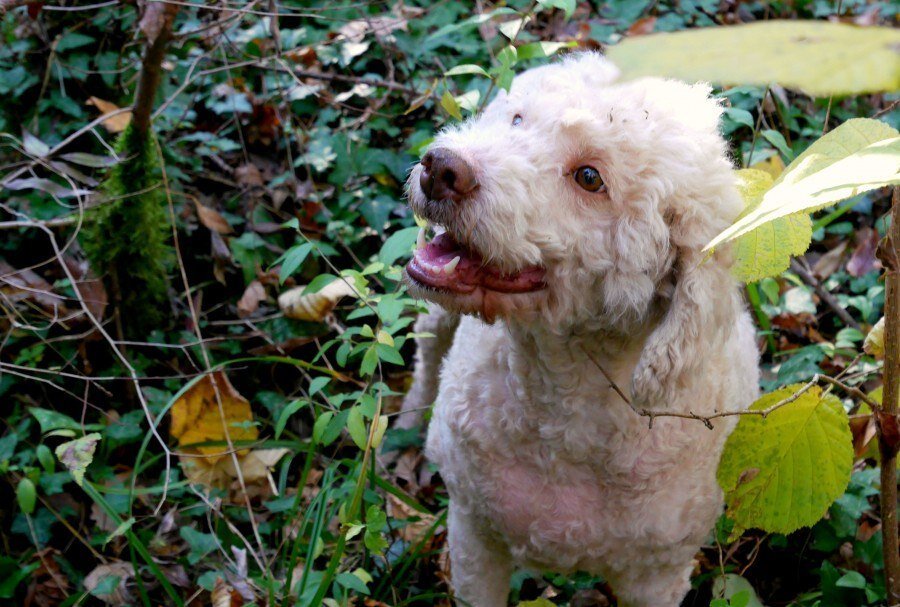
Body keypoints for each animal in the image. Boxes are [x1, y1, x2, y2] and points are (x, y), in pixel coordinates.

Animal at [400, 53, 760, 607]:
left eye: (590, 178)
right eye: (517, 121)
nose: (440, 167)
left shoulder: (658, 575)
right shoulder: (472, 532)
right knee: (426, 346)